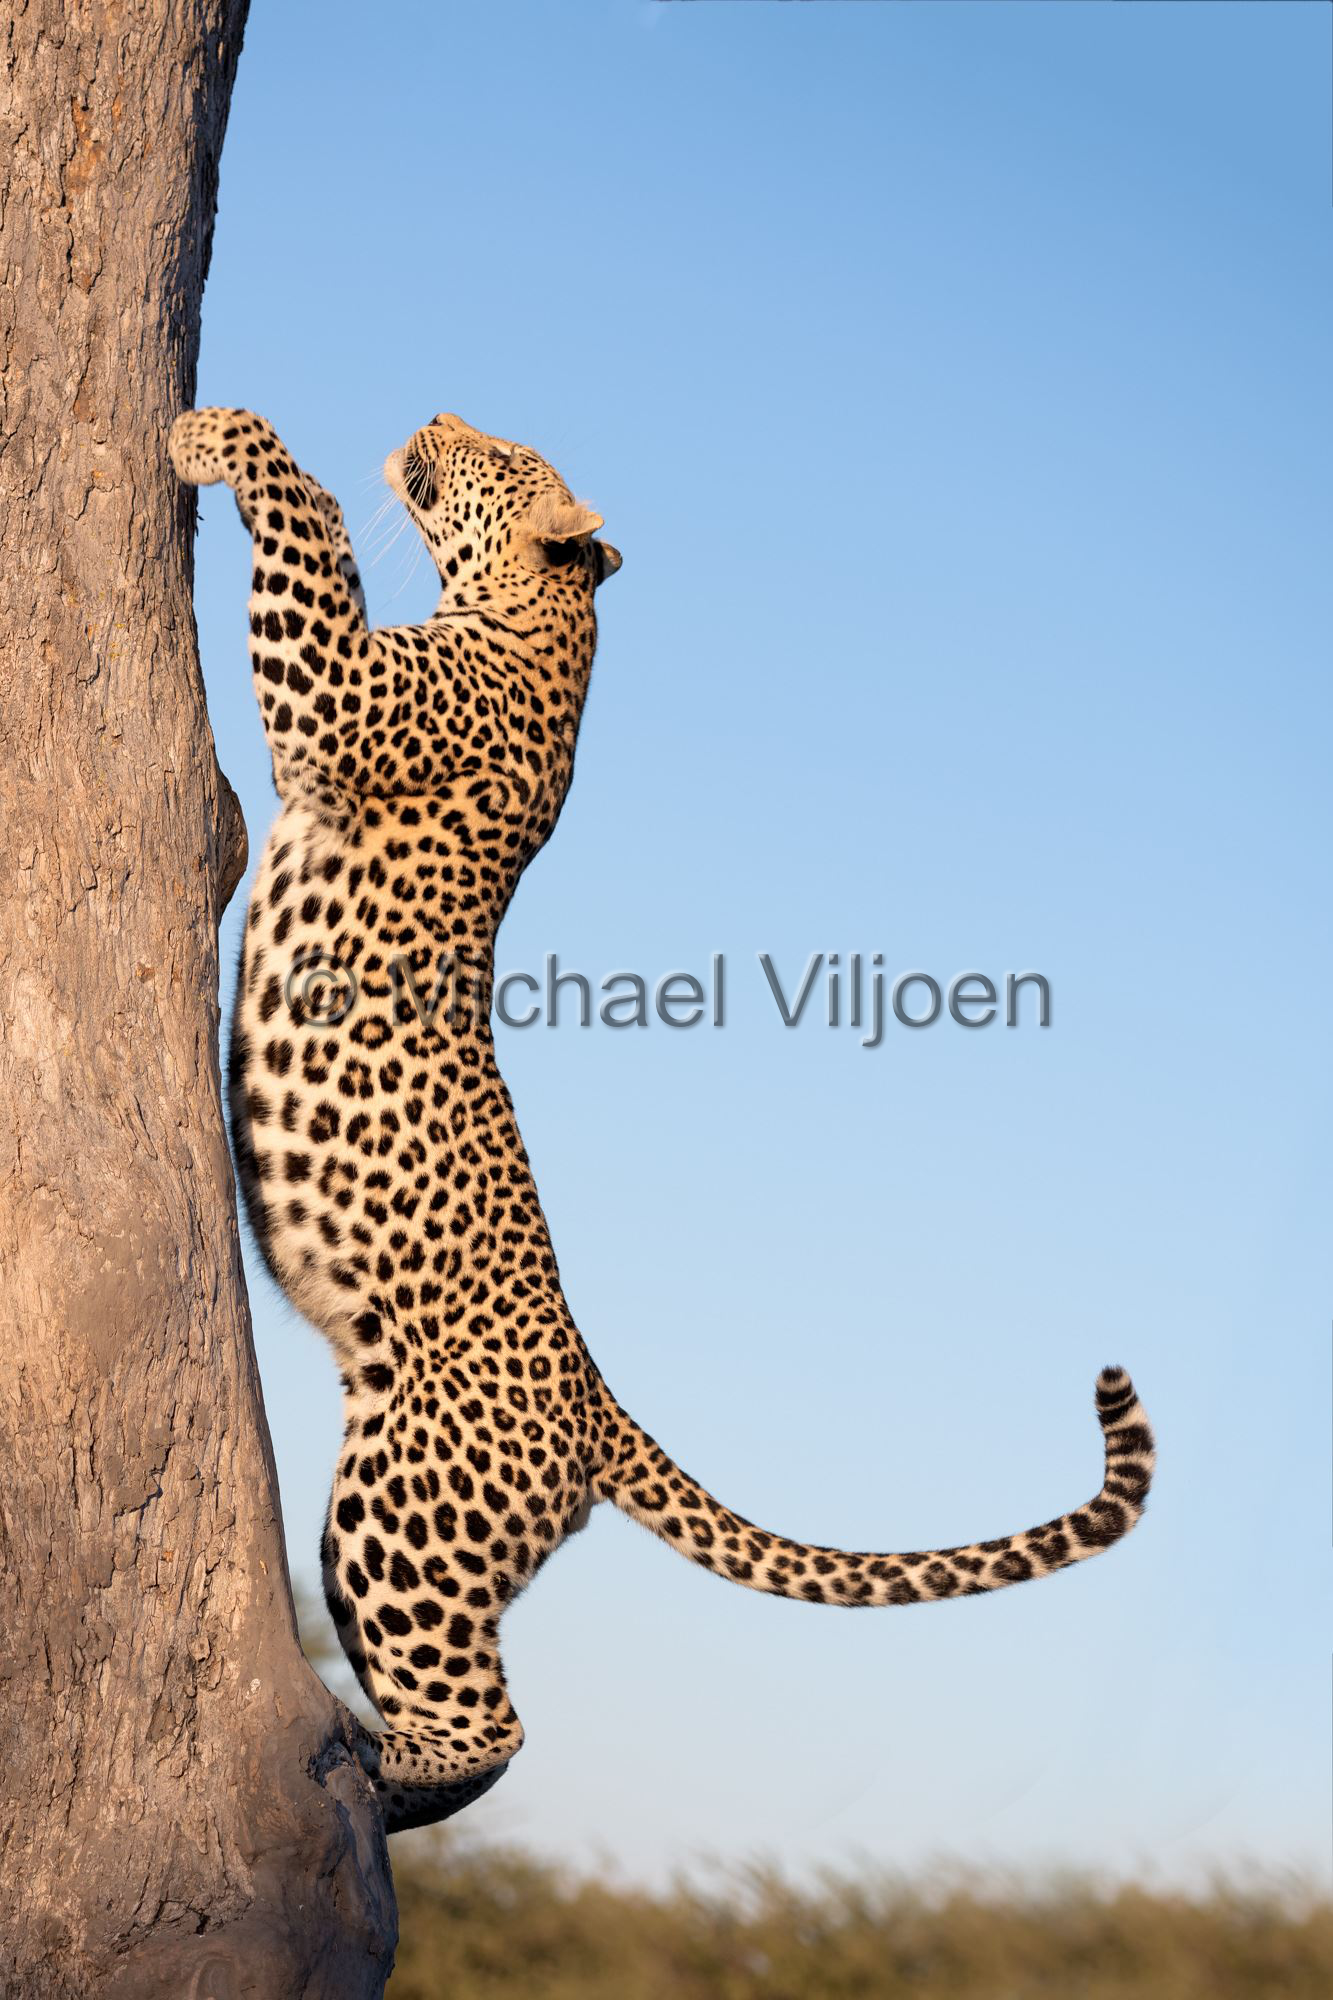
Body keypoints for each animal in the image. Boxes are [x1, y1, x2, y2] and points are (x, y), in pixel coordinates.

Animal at [170, 404, 1156, 1835]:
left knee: (491, 1717)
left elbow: (316, 535)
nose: (433, 416)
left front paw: (225, 436)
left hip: (407, 1497)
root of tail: (595, 1403)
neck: (547, 616)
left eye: (496, 451)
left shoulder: (342, 695)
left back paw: (376, 1770)